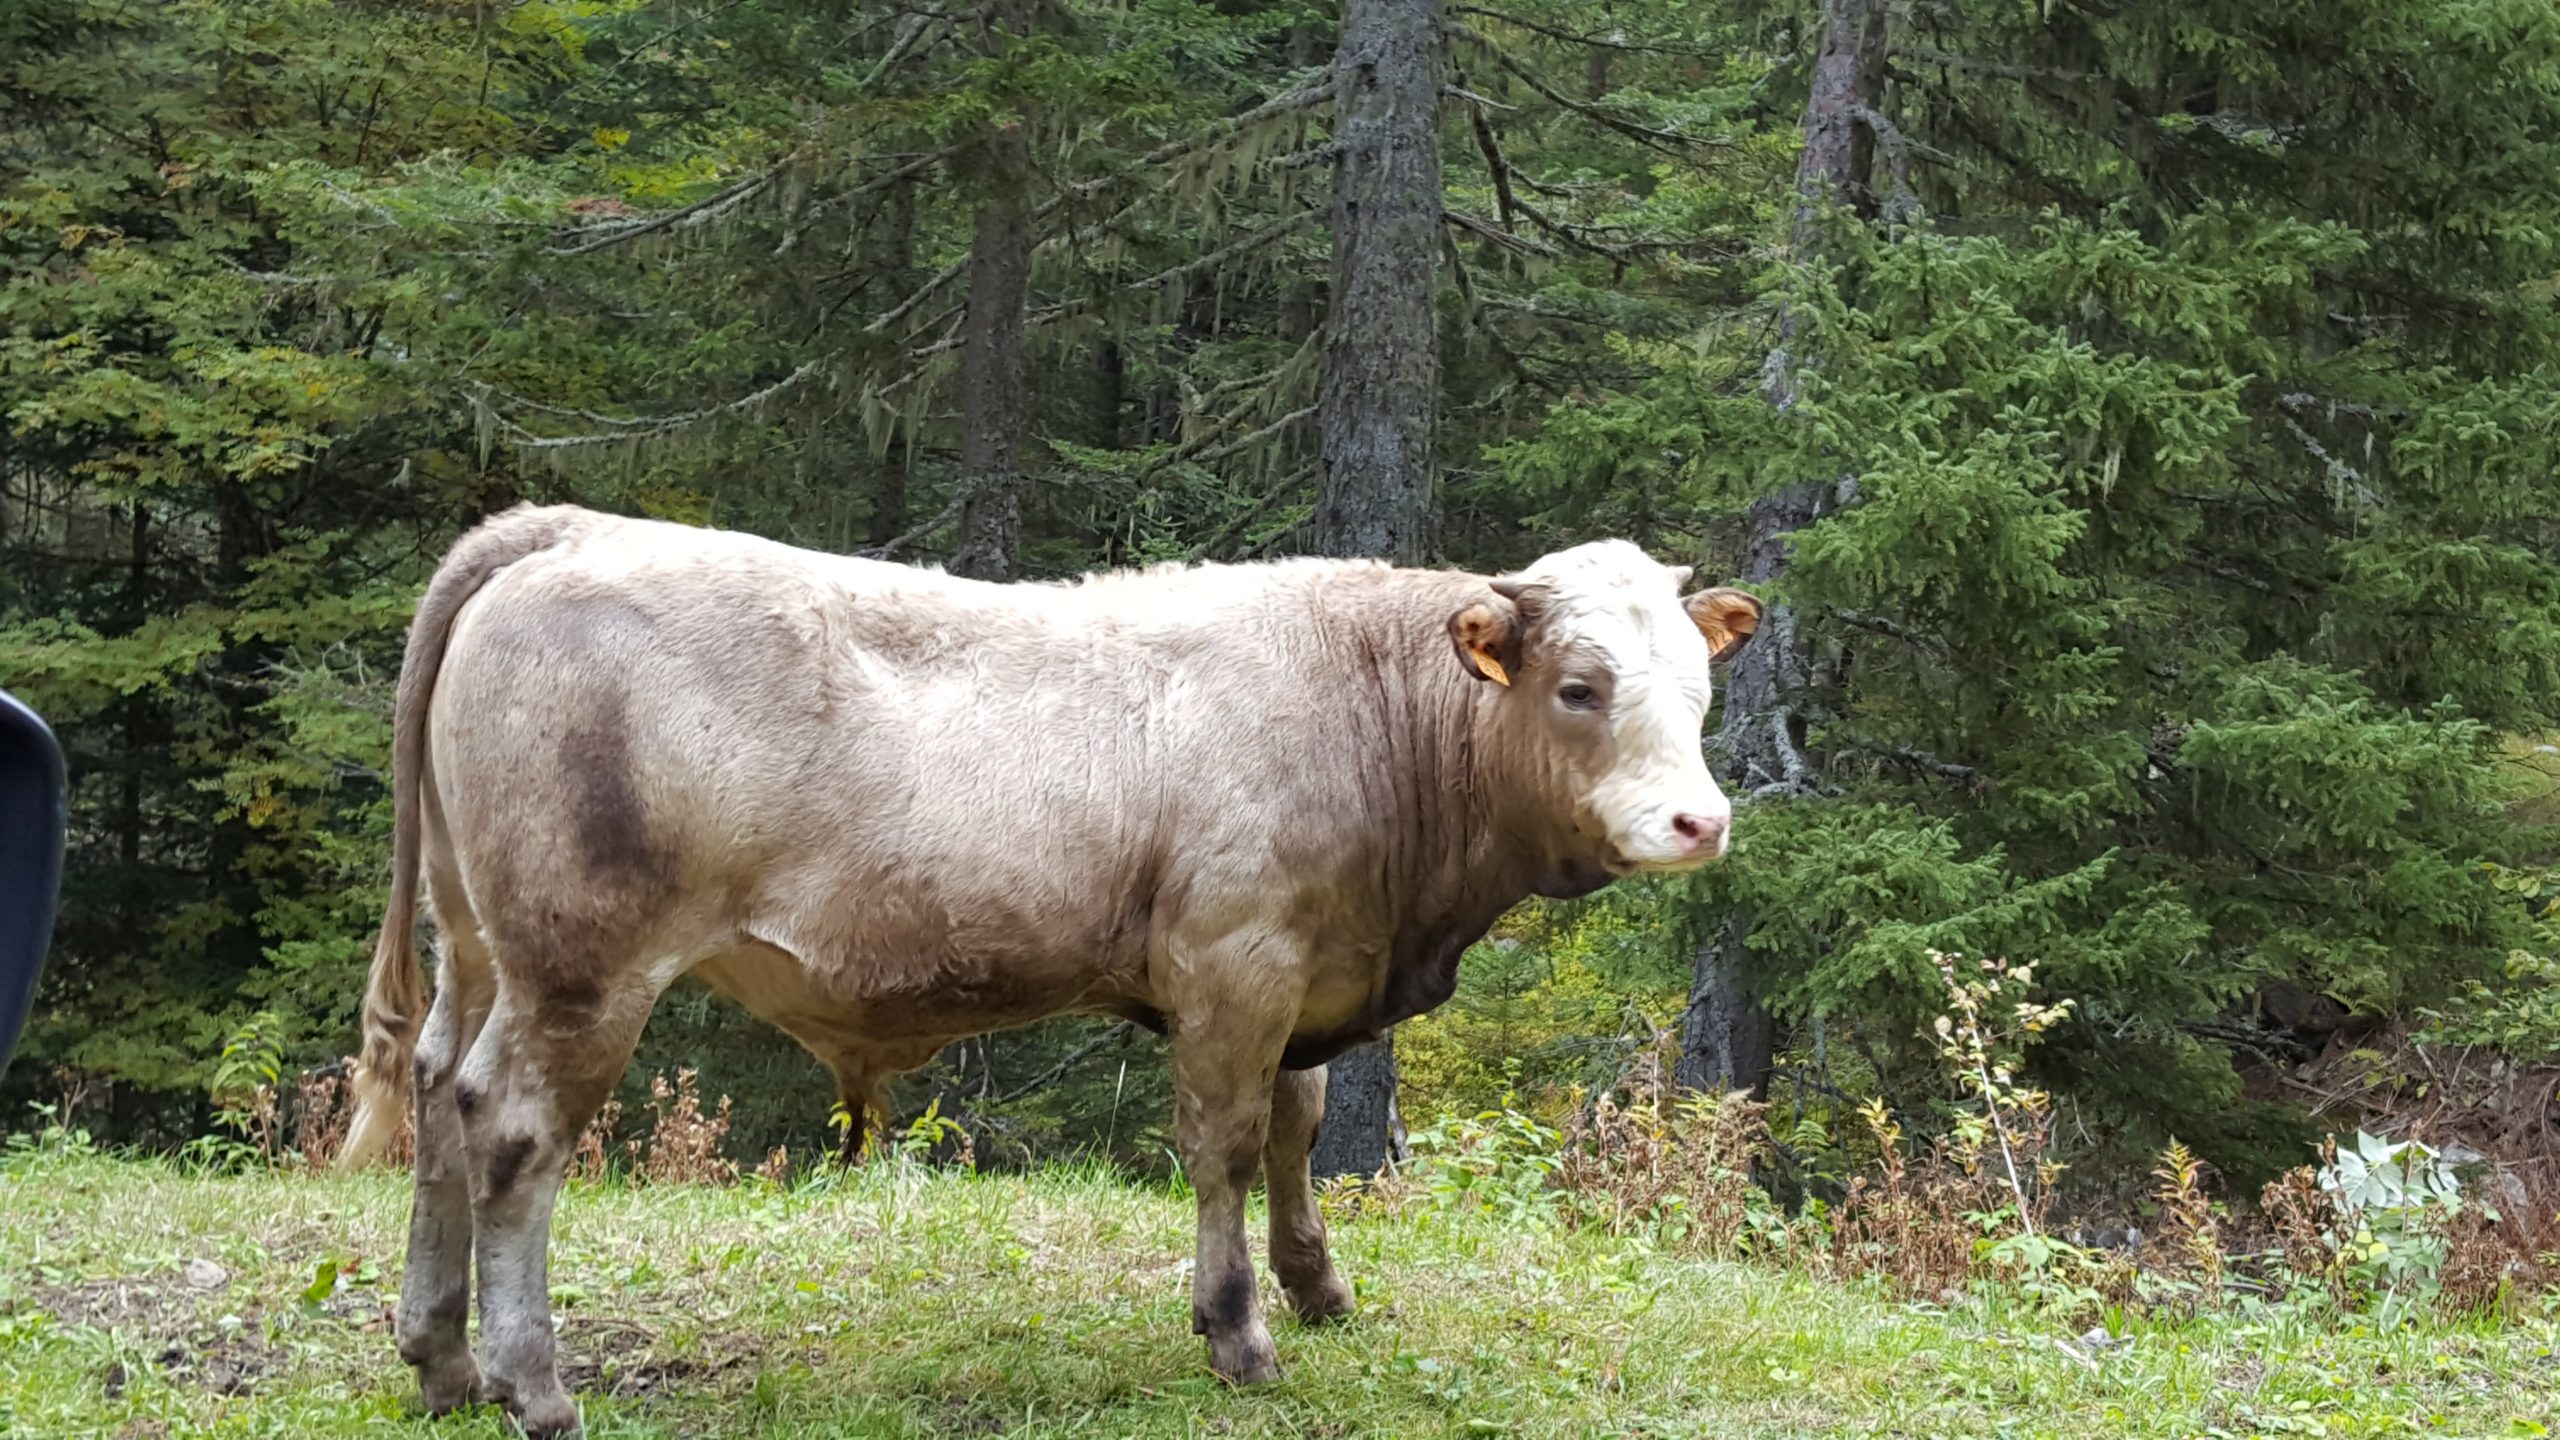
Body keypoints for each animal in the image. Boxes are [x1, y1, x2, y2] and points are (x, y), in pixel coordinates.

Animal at [338, 504, 1761, 1436]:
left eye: (1699, 688)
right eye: (1578, 688)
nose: (1699, 822)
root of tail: (560, 530)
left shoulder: (1302, 974)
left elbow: (1297, 1130)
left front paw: (1319, 1289)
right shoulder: (1234, 962)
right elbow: (1225, 1144)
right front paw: (1237, 1331)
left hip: (479, 945)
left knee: (439, 1098)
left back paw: (439, 1360)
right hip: (580, 967)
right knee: (514, 1129)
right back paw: (533, 1386)